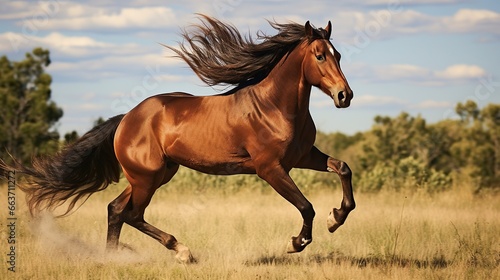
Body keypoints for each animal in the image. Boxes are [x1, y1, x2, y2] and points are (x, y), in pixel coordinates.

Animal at [1, 15, 358, 262]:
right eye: (320, 56)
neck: (274, 107)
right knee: (131, 214)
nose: (345, 96)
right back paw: (181, 251)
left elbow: (342, 168)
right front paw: (297, 243)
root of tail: (126, 119)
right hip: (147, 177)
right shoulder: (270, 168)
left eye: (338, 54)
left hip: (154, 174)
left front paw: (336, 218)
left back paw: (113, 258)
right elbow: (306, 206)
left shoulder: (302, 157)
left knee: (116, 209)